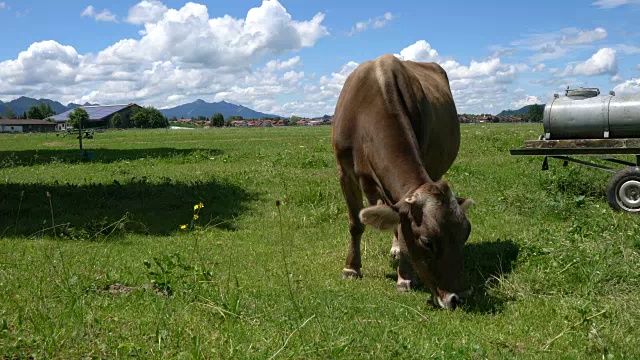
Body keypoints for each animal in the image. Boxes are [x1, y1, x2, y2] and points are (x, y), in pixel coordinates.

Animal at [332, 52, 472, 310]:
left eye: (466, 234)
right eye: (427, 241)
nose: (457, 298)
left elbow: (399, 222)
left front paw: (404, 277)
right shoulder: (344, 172)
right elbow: (356, 223)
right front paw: (351, 268)